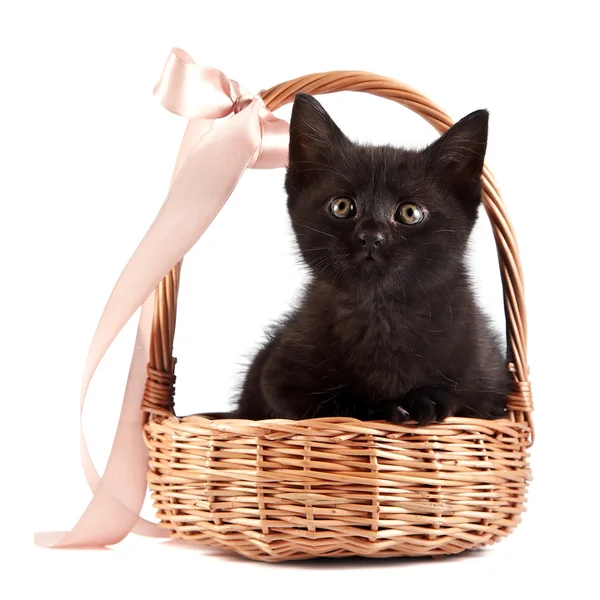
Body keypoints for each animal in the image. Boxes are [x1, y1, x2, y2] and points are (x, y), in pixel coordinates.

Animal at [237, 94, 508, 424]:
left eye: (410, 213)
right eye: (341, 206)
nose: (370, 235)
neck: (381, 312)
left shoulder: (493, 387)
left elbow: (466, 398)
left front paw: (427, 400)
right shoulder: (277, 381)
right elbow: (336, 405)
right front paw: (392, 405)